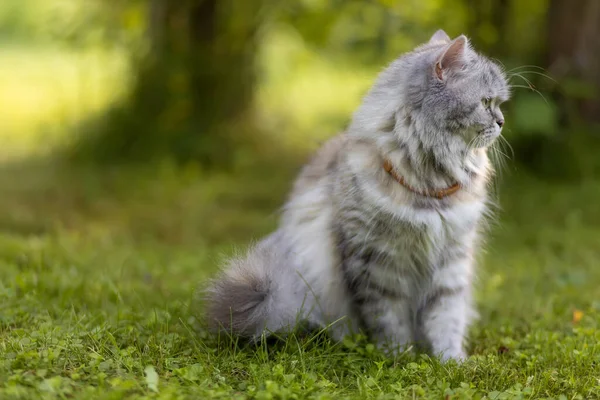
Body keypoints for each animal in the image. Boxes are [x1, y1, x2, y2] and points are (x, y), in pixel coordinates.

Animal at [204, 29, 508, 360]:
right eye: (486, 102)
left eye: (498, 103)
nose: (502, 122)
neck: (429, 184)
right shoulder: (377, 261)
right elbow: (389, 318)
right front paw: (398, 357)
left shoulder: (452, 257)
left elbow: (446, 317)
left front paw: (450, 361)